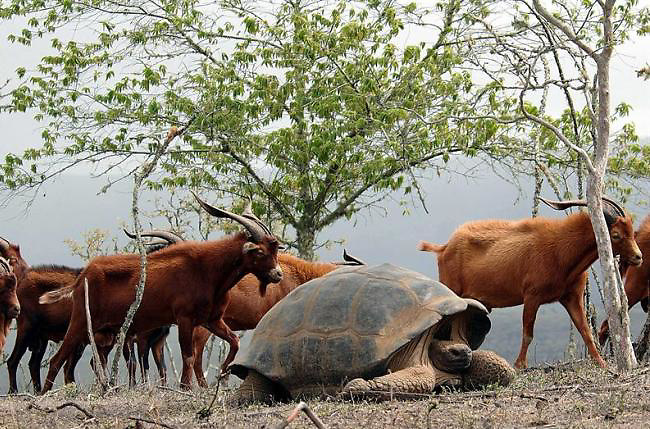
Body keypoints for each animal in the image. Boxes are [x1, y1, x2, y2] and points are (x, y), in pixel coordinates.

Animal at [38, 194, 280, 392]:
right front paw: (185, 388)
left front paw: (223, 372)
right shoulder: (184, 319)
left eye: (275, 249)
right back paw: (43, 395)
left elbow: (234, 342)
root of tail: (83, 276)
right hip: (81, 321)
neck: (209, 270)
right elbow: (188, 355)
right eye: (260, 251)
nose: (277, 274)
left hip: (104, 331)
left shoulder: (211, 320)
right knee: (57, 360)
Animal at [418, 197, 640, 368]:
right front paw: (519, 365)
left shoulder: (571, 297)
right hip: (451, 289)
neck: (561, 250)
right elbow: (528, 333)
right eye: (616, 235)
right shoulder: (532, 296)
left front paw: (601, 363)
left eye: (632, 231)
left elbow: (585, 330)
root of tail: (444, 248)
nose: (638, 257)